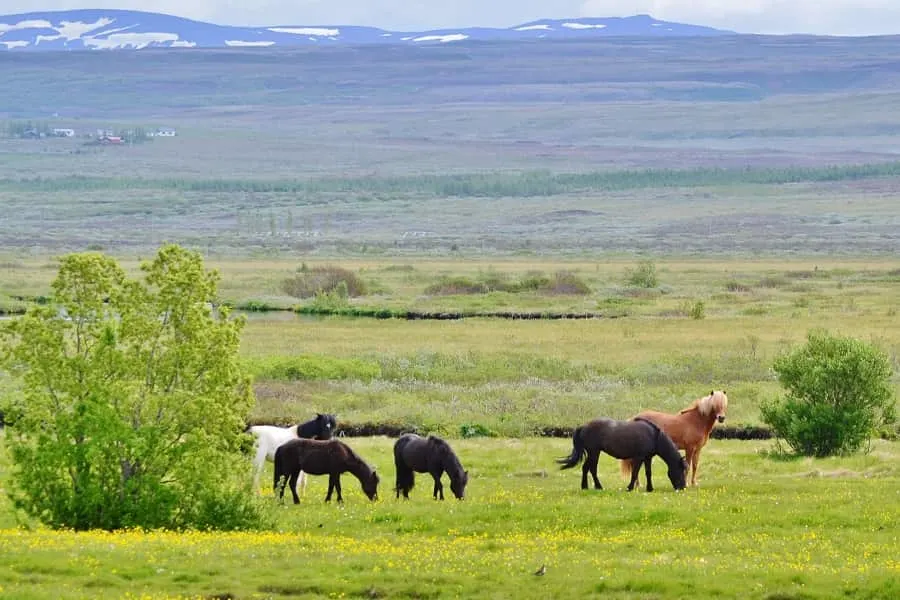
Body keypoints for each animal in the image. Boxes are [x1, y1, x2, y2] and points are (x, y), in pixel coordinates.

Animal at [556, 418, 688, 492]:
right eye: (681, 470)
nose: (682, 487)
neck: (654, 436)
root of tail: (584, 426)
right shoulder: (639, 457)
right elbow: (634, 473)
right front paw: (629, 488)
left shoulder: (648, 458)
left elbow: (648, 473)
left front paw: (650, 488)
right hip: (594, 452)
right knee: (592, 469)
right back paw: (598, 487)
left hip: (593, 453)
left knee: (586, 468)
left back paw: (585, 487)